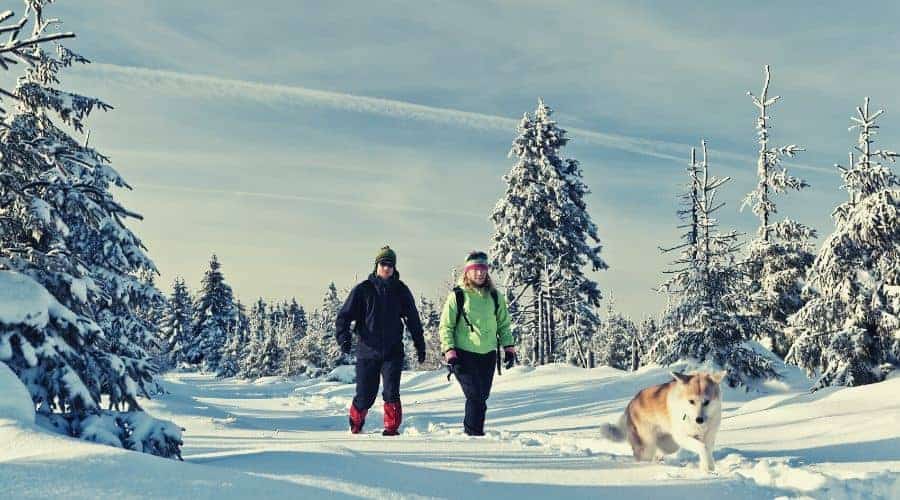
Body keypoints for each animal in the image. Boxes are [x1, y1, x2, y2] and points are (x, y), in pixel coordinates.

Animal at [600, 372, 728, 472]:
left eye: (706, 402)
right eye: (691, 401)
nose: (699, 419)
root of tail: (630, 404)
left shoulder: (709, 436)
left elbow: (707, 449)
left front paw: (707, 466)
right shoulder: (681, 436)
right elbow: (703, 447)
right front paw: (708, 468)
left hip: (668, 442)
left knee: (666, 448)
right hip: (647, 444)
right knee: (643, 455)